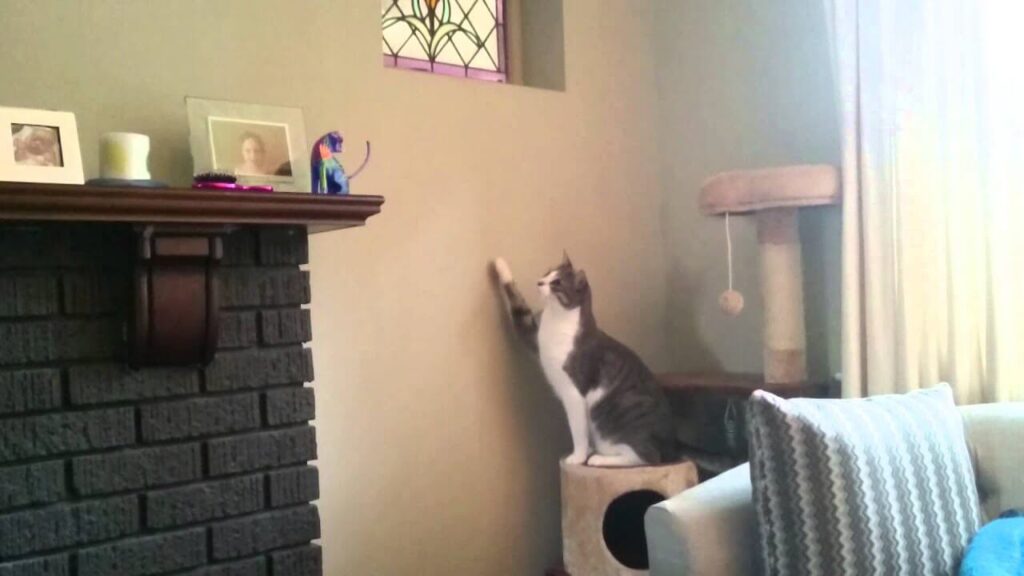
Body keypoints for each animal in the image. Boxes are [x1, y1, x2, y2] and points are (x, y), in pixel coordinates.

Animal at [492, 254, 679, 467]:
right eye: (547, 273)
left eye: (556, 283)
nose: (539, 282)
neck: (555, 319)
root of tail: (673, 450)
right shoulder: (534, 338)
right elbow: (520, 310)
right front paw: (500, 265)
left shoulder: (574, 393)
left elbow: (577, 430)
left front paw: (577, 457)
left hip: (615, 423)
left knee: (647, 457)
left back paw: (599, 459)